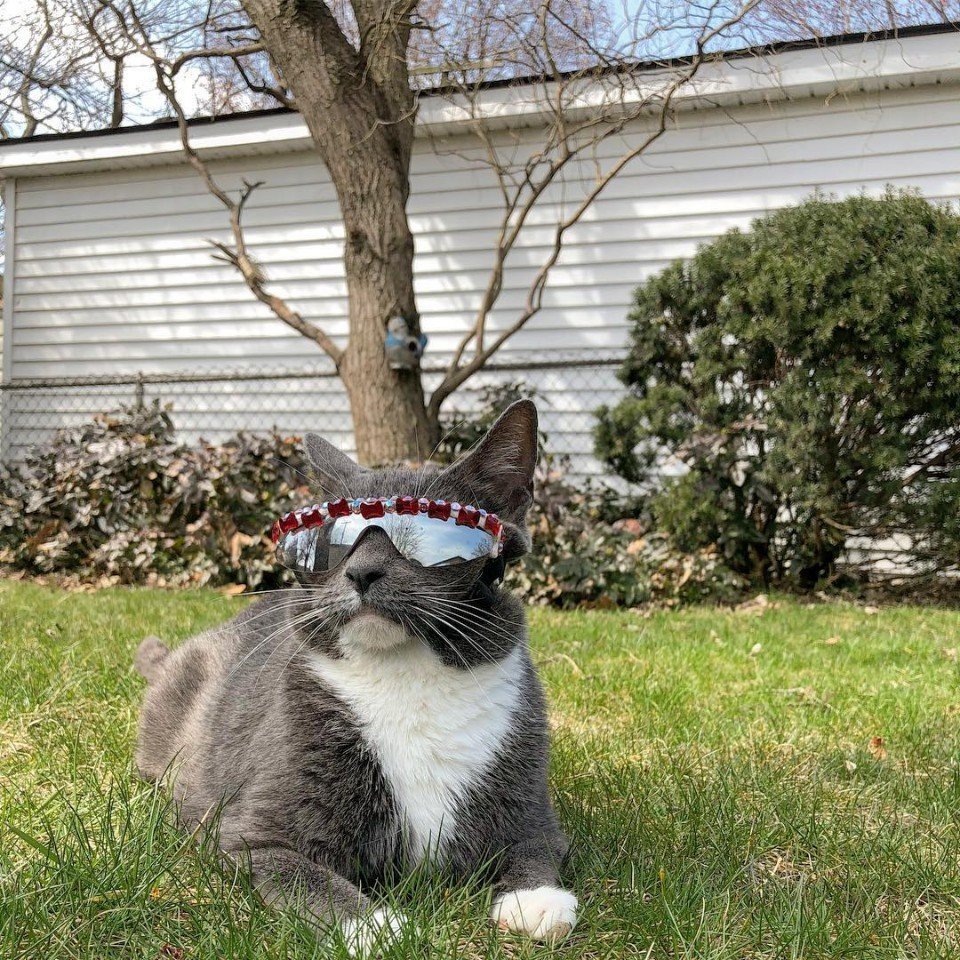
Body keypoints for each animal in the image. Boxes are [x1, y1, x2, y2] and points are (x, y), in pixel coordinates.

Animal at [134, 399, 577, 954]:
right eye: (332, 541)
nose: (361, 571)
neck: (404, 674)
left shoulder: (529, 802)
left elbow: (533, 845)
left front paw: (536, 901)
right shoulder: (251, 833)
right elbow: (305, 875)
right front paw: (378, 927)